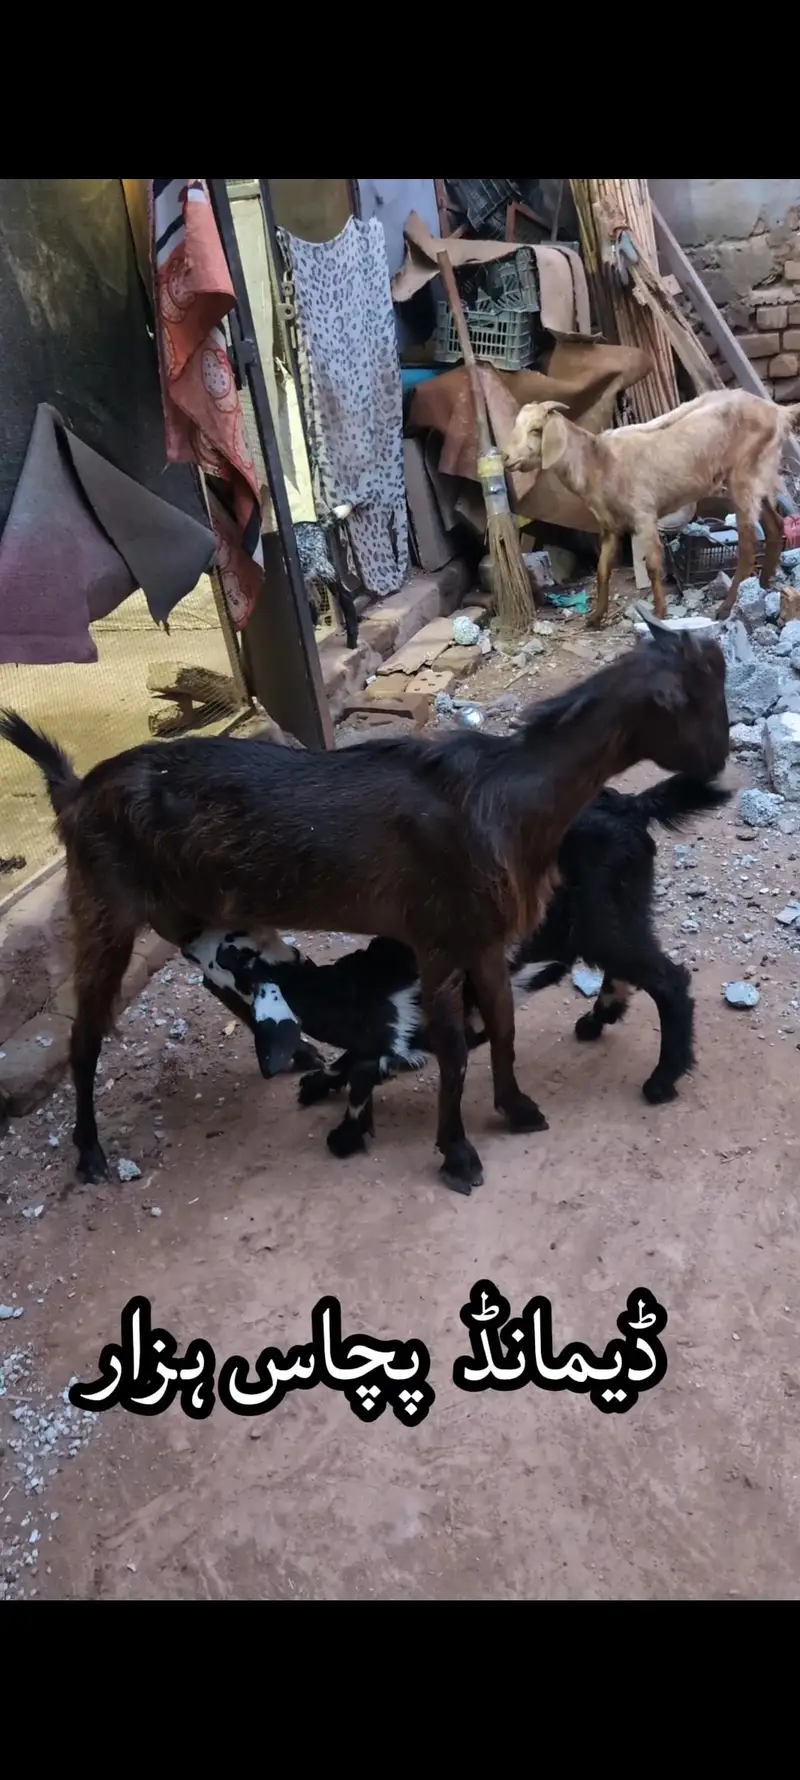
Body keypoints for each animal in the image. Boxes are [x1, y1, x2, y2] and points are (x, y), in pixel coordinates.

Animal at [192, 776, 729, 1157]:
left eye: (230, 956)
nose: (194, 937)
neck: (352, 991)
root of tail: (631, 805)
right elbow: (353, 1060)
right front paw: (320, 1082)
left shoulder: (413, 1034)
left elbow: (367, 1069)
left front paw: (345, 1134)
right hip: (615, 915)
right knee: (633, 968)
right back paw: (599, 1019)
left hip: (603, 921)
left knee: (670, 982)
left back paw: (662, 1079)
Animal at [295, 520, 360, 650]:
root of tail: (317, 524)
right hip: (309, 578)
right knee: (315, 601)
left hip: (324, 568)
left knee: (345, 596)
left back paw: (352, 640)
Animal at [503, 389, 800, 629]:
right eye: (517, 425)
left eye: (536, 429)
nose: (505, 457)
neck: (597, 462)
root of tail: (778, 411)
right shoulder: (610, 526)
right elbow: (602, 570)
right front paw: (595, 617)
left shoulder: (644, 514)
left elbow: (655, 565)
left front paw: (659, 612)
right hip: (759, 474)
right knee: (774, 526)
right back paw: (763, 585)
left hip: (744, 477)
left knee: (748, 549)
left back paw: (726, 608)